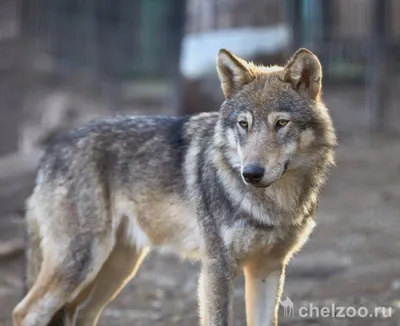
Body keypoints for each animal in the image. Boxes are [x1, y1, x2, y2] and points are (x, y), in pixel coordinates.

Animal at [12, 46, 336, 326]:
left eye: (281, 123)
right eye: (243, 124)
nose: (251, 173)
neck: (274, 203)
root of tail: (52, 149)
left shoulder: (268, 268)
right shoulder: (217, 267)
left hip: (118, 267)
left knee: (80, 313)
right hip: (81, 262)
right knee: (24, 312)